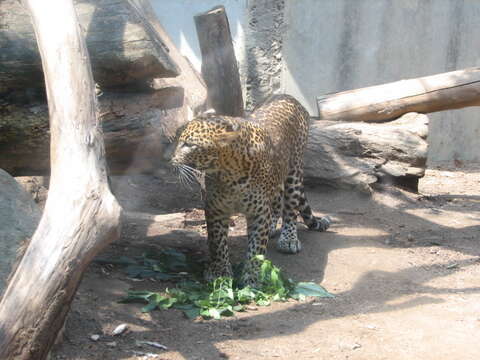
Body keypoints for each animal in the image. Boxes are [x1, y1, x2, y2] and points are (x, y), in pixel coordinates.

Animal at [171, 95, 332, 286]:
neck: (229, 174)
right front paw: (220, 272)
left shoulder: (259, 213)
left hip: (294, 171)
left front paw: (252, 278)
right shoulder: (215, 209)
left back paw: (288, 239)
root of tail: (287, 96)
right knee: (276, 201)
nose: (171, 159)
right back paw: (272, 227)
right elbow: (217, 243)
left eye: (189, 145)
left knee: (290, 209)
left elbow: (256, 249)